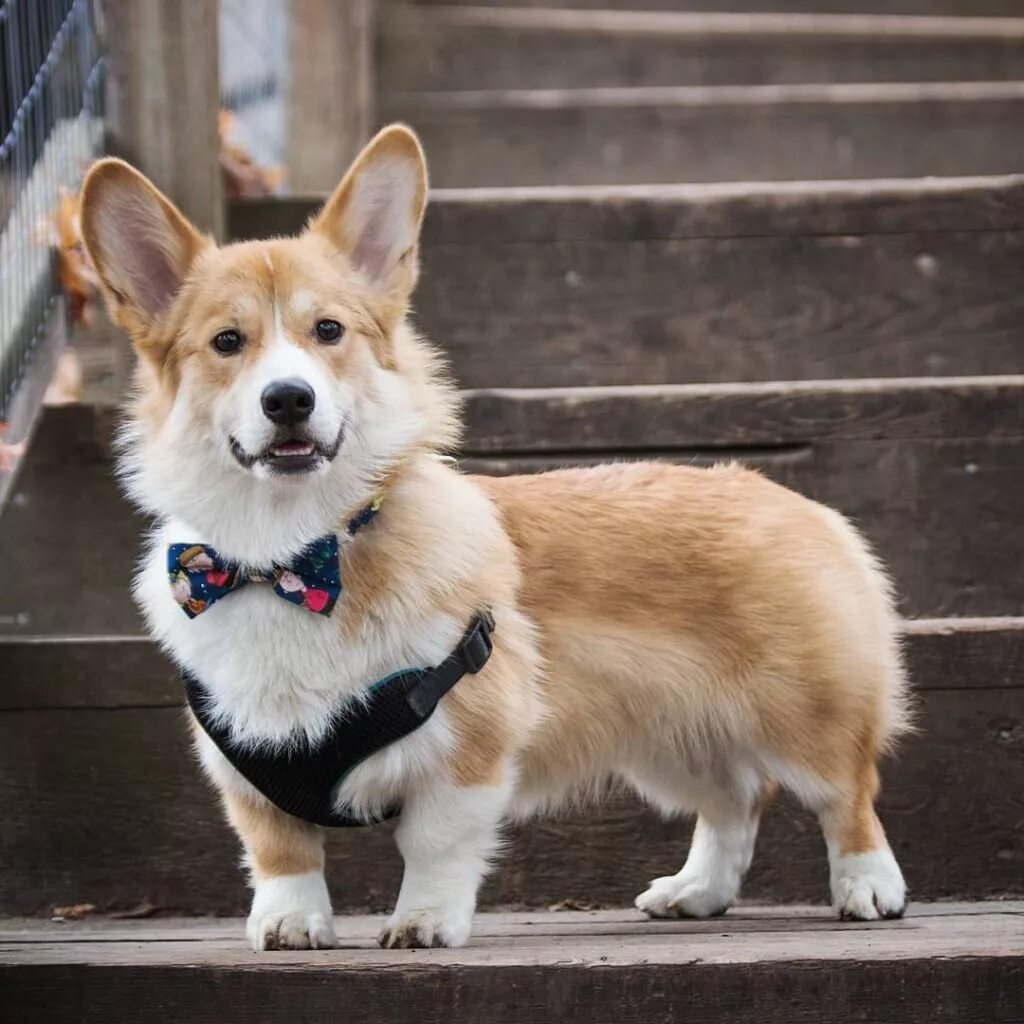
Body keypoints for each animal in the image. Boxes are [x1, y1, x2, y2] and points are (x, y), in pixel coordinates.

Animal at [81, 125, 913, 950]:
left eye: (328, 332)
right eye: (227, 342)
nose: (289, 398)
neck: (290, 555)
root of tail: (791, 500)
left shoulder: (468, 747)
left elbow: (433, 845)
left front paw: (422, 922)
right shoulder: (246, 761)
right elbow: (280, 850)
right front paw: (289, 923)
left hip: (806, 716)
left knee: (846, 794)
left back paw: (868, 887)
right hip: (672, 738)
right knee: (734, 803)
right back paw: (696, 891)